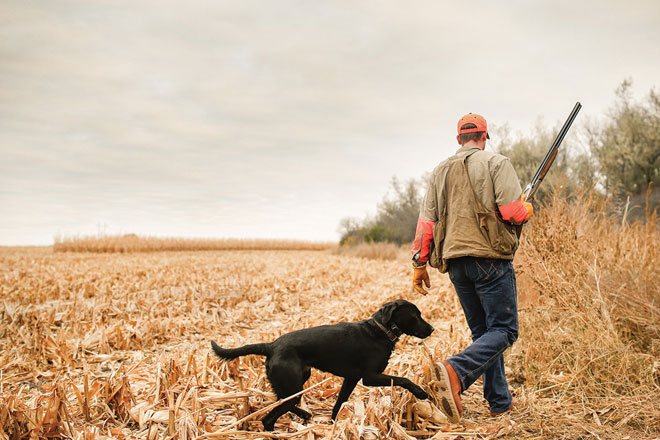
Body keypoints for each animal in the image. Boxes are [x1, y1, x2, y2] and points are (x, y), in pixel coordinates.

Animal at [209, 300, 430, 430]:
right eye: (415, 316)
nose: (432, 329)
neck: (380, 330)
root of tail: (271, 345)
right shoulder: (370, 377)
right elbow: (403, 379)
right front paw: (420, 392)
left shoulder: (351, 378)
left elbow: (339, 403)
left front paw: (333, 424)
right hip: (292, 386)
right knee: (269, 418)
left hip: (294, 383)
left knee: (280, 401)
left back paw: (305, 414)